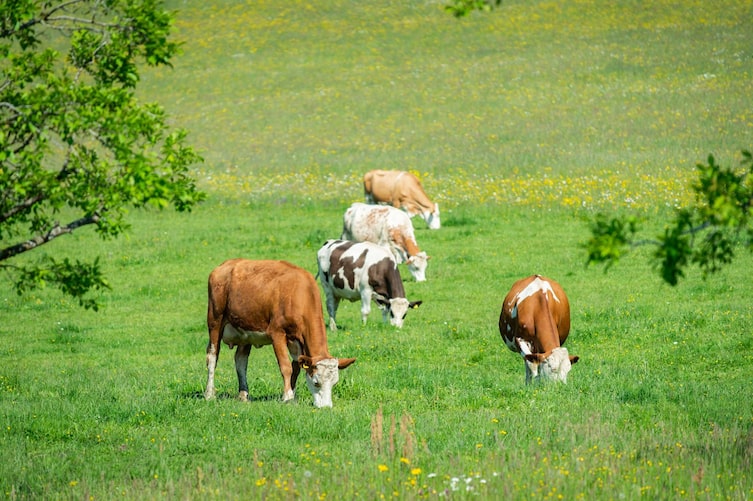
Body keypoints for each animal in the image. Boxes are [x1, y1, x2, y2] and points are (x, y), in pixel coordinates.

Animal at [204, 258, 356, 406]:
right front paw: (287, 396)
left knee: (241, 361)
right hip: (215, 321)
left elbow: (296, 369)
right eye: (316, 383)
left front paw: (291, 395)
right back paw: (209, 394)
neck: (299, 295)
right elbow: (286, 367)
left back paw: (243, 395)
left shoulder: (297, 341)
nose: (326, 407)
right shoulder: (277, 333)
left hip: (246, 331)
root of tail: (225, 265)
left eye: (334, 383)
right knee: (212, 357)